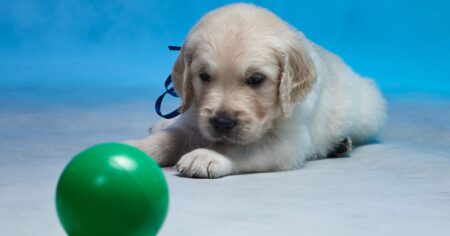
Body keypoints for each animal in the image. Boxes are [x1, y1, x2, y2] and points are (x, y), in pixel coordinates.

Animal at [124, 3, 386, 178]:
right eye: (204, 77)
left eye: (256, 79)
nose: (222, 122)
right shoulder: (194, 119)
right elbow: (167, 138)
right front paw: (135, 148)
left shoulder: (286, 142)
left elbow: (239, 146)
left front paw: (207, 155)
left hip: (366, 116)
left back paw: (339, 144)